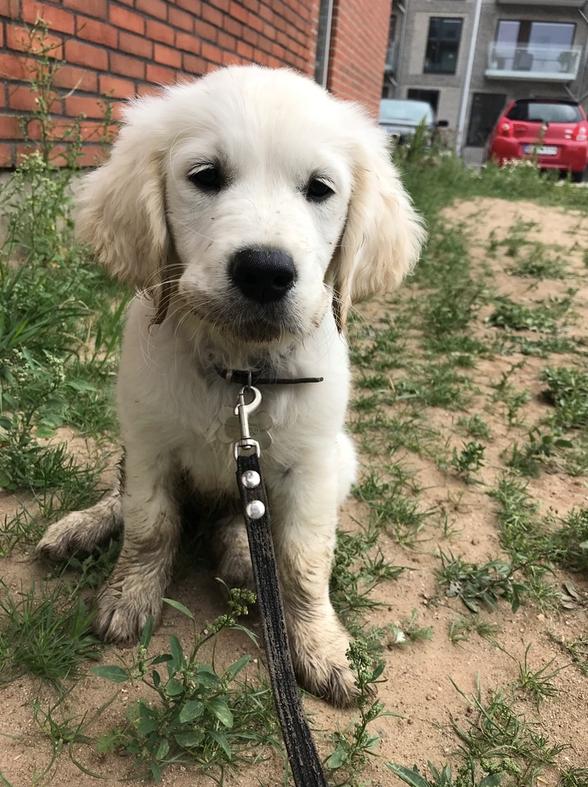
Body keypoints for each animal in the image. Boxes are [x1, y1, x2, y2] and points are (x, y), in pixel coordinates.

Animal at [38, 66, 422, 708]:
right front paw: (129, 595)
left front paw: (321, 647)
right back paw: (83, 526)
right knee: (122, 494)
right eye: (205, 176)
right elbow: (149, 525)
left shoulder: (313, 467)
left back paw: (243, 550)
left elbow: (302, 562)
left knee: (251, 523)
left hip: (341, 459)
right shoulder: (149, 443)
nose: (265, 271)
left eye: (320, 189)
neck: (242, 375)